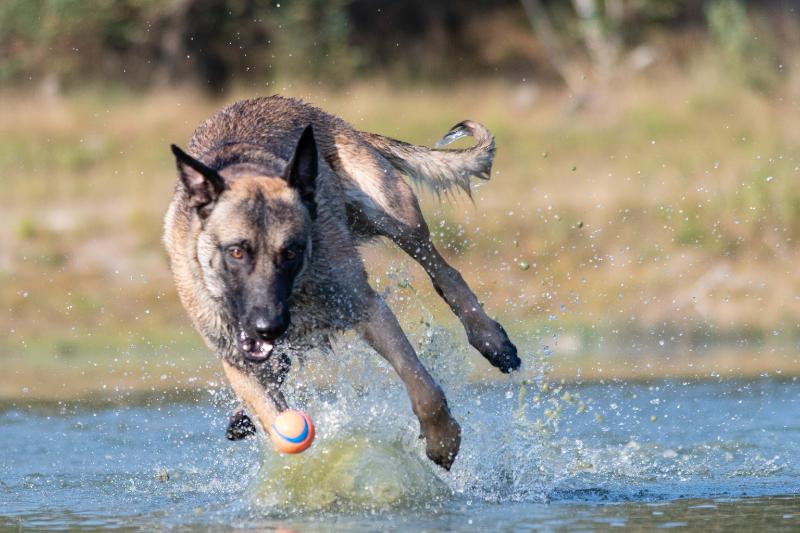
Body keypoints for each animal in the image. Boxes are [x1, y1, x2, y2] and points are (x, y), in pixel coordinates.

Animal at [166, 96, 520, 470]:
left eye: (290, 252)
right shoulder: (237, 359)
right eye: (235, 252)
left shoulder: (367, 308)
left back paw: (492, 339)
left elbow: (423, 387)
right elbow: (275, 419)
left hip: (393, 214)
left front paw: (443, 441)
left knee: (444, 272)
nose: (268, 326)